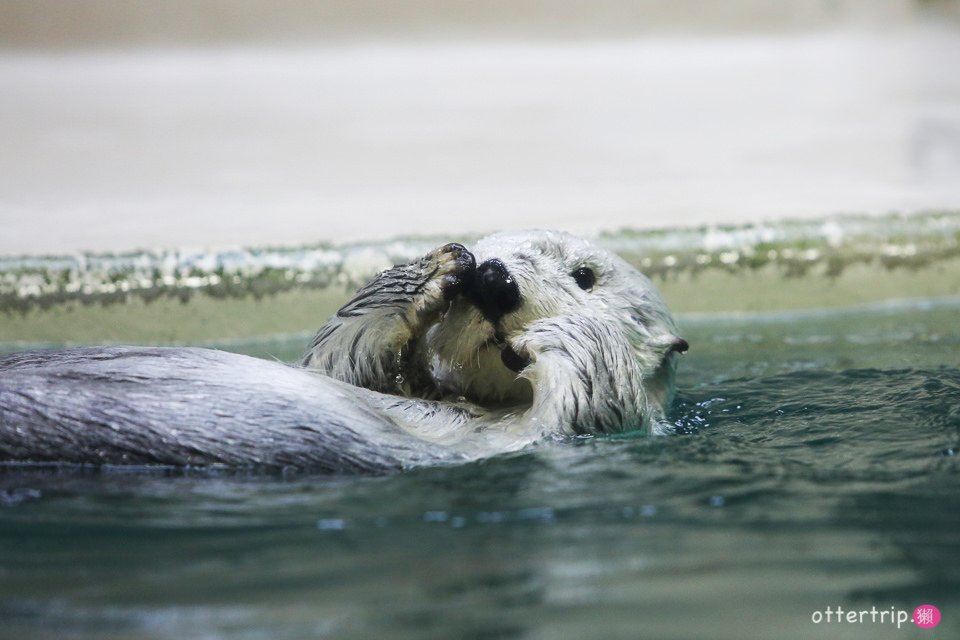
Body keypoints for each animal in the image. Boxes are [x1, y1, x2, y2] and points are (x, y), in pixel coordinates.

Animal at [1, 230, 688, 470]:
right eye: (483, 255)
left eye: (585, 276)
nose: (492, 279)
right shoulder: (353, 372)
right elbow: (335, 359)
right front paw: (432, 271)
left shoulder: (557, 432)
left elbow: (585, 399)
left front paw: (561, 332)